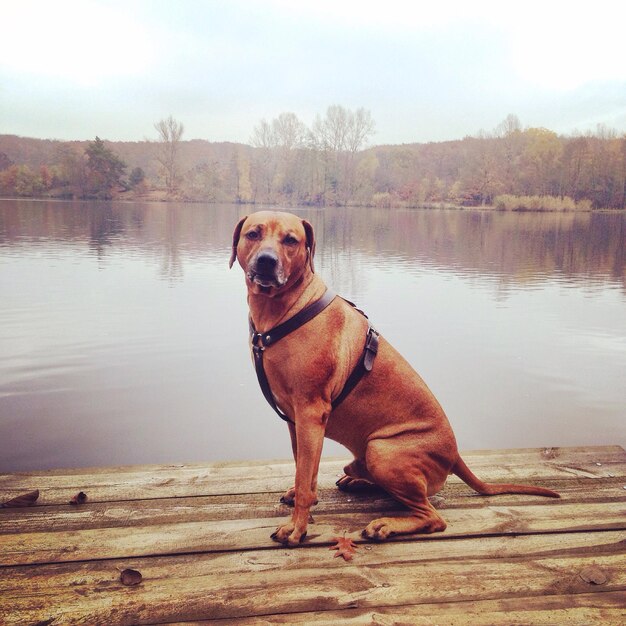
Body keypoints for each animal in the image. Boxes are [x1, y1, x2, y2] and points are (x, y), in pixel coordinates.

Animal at [228, 208, 556, 540]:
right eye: (253, 234)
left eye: (291, 240)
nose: (266, 260)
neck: (286, 307)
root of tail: (454, 456)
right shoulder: (296, 419)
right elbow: (304, 468)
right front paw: (300, 495)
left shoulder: (310, 412)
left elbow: (306, 473)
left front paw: (297, 526)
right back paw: (358, 480)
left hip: (381, 450)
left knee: (433, 517)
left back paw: (386, 524)